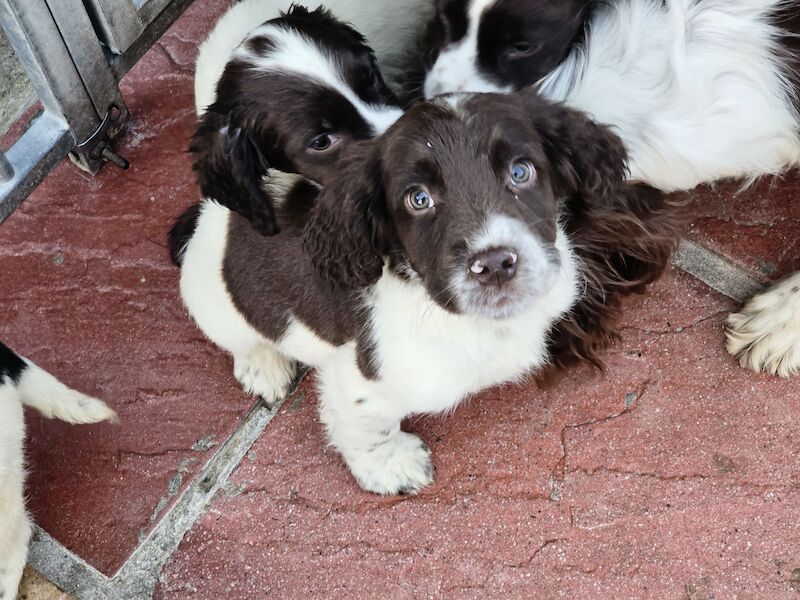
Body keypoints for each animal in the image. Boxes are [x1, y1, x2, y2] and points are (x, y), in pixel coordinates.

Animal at [172, 91, 680, 494]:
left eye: (521, 171)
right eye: (419, 199)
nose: (495, 264)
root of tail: (214, 214)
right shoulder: (359, 373)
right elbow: (366, 424)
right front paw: (391, 467)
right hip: (212, 302)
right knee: (242, 339)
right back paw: (264, 366)